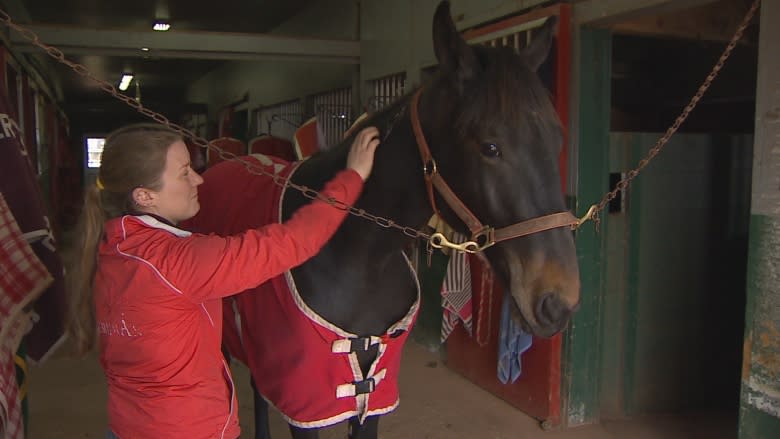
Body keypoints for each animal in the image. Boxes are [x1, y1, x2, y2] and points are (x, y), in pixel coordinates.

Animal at [189, 1, 580, 438]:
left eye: (556, 139)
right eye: (490, 147)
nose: (558, 300)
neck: (354, 256)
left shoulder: (372, 395)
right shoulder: (305, 400)